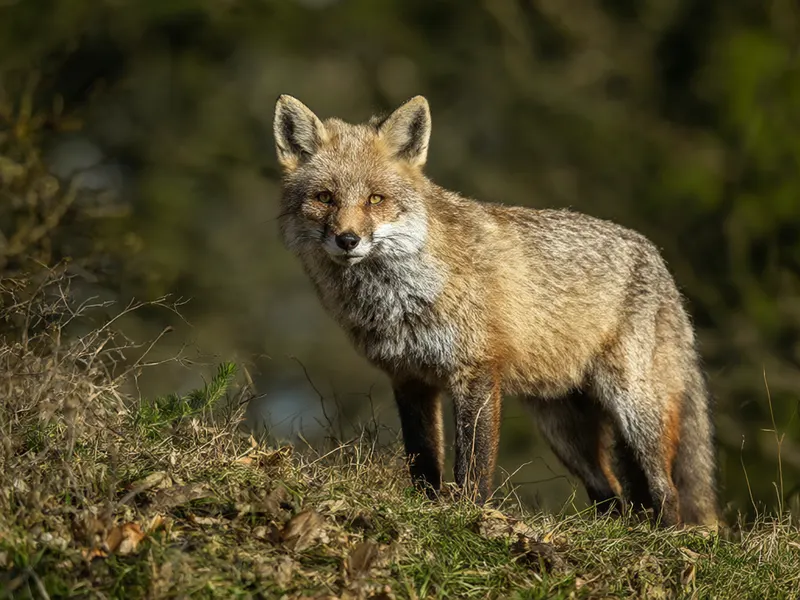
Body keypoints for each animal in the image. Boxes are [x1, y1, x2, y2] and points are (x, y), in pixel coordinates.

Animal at [272, 94, 719, 527]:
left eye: (375, 199)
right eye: (324, 198)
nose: (348, 240)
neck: (401, 301)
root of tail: (659, 261)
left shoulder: (476, 370)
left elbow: (474, 462)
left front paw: (469, 514)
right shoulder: (409, 377)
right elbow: (423, 460)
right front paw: (427, 507)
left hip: (634, 409)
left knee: (665, 492)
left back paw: (666, 540)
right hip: (564, 430)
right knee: (611, 493)